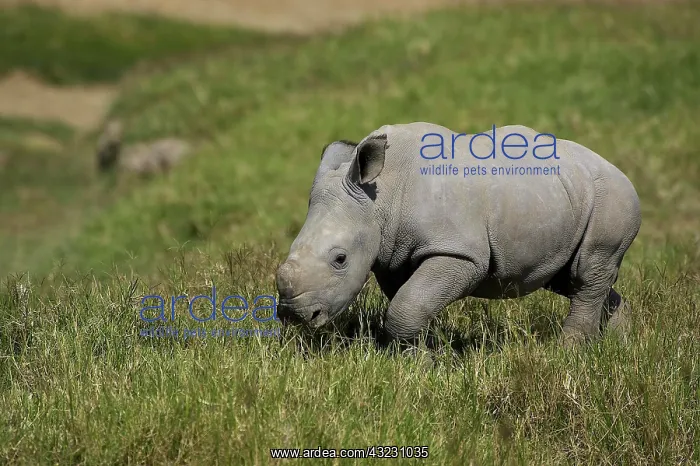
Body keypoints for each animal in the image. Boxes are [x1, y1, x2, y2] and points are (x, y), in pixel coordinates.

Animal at [276, 122, 641, 345]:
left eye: (340, 259)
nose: (296, 316)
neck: (380, 197)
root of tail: (622, 175)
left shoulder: (458, 252)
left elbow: (407, 306)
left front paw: (424, 363)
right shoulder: (393, 253)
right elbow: (409, 303)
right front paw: (427, 354)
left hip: (612, 199)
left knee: (586, 274)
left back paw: (568, 352)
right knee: (570, 278)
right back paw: (619, 344)